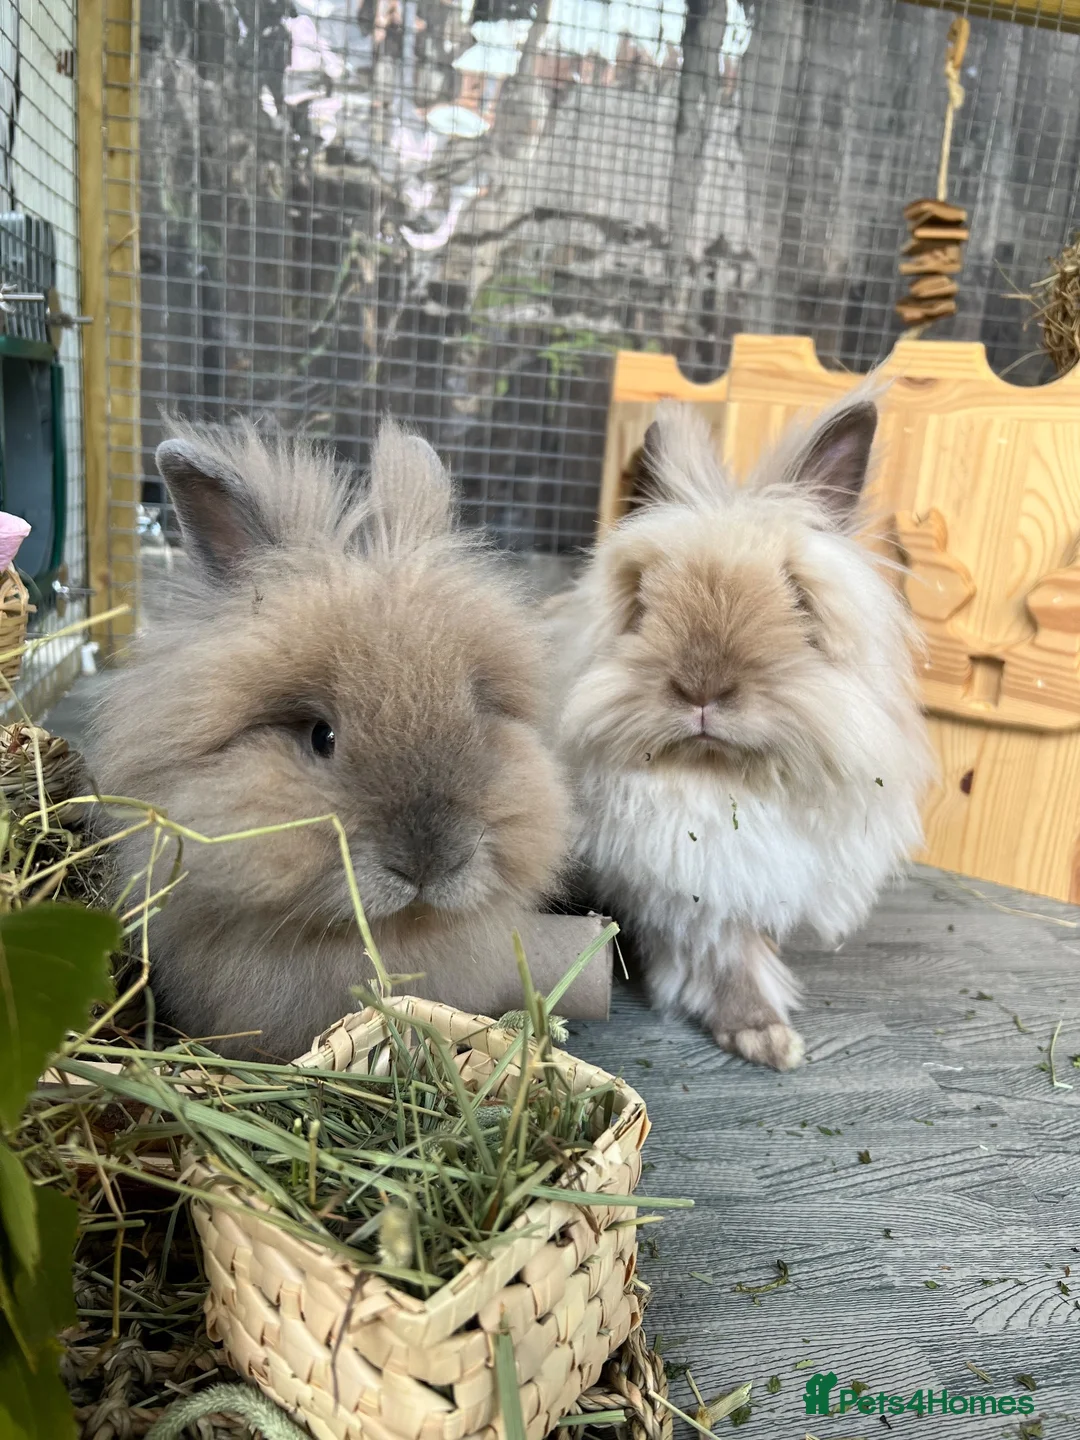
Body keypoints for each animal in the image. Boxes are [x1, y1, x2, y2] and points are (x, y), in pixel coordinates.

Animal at [545, 390, 933, 1070]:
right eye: (643, 599)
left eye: (798, 598)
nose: (702, 688)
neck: (718, 777)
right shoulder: (695, 897)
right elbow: (727, 960)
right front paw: (762, 1038)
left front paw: (770, 1040)